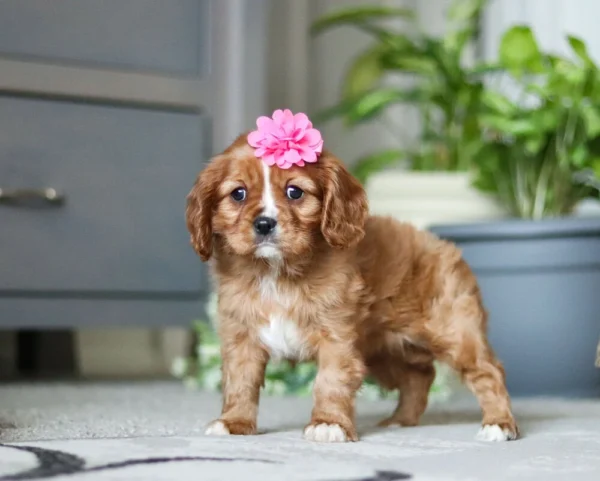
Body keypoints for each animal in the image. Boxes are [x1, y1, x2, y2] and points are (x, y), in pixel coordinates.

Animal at [185, 133, 516, 440]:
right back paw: (401, 420)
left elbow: (330, 381)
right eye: (238, 194)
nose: (264, 223)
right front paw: (234, 423)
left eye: (294, 192)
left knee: (488, 371)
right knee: (419, 376)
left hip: (456, 334)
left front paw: (328, 424)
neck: (275, 271)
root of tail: (445, 246)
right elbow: (240, 382)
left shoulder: (337, 338)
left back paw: (499, 424)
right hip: (383, 353)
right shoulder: (242, 338)